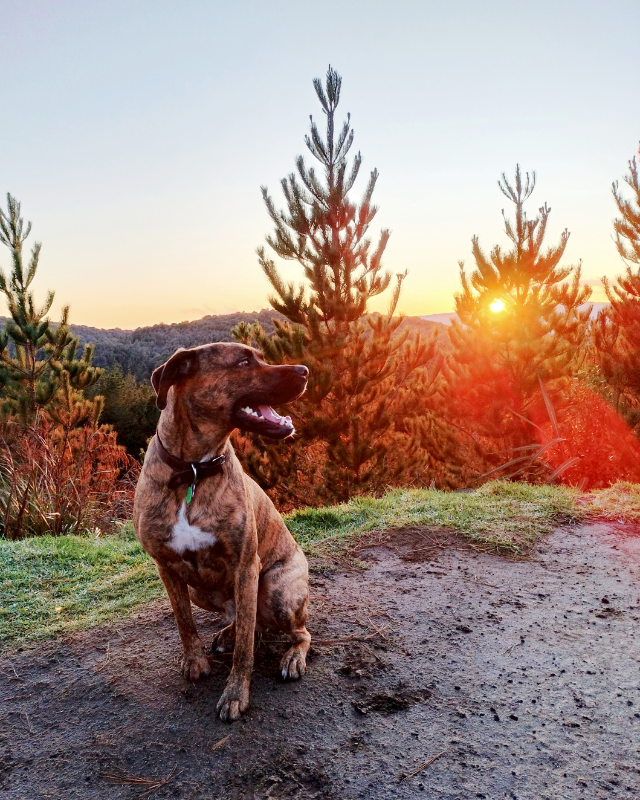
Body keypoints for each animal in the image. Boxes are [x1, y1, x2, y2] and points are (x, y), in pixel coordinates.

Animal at [136, 340, 312, 720]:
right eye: (244, 362)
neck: (193, 470)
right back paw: (226, 634)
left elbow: (245, 648)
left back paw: (292, 656)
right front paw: (195, 661)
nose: (305, 370)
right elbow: (184, 621)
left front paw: (235, 693)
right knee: (250, 621)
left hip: (276, 590)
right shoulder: (166, 567)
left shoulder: (246, 567)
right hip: (201, 590)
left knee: (296, 631)